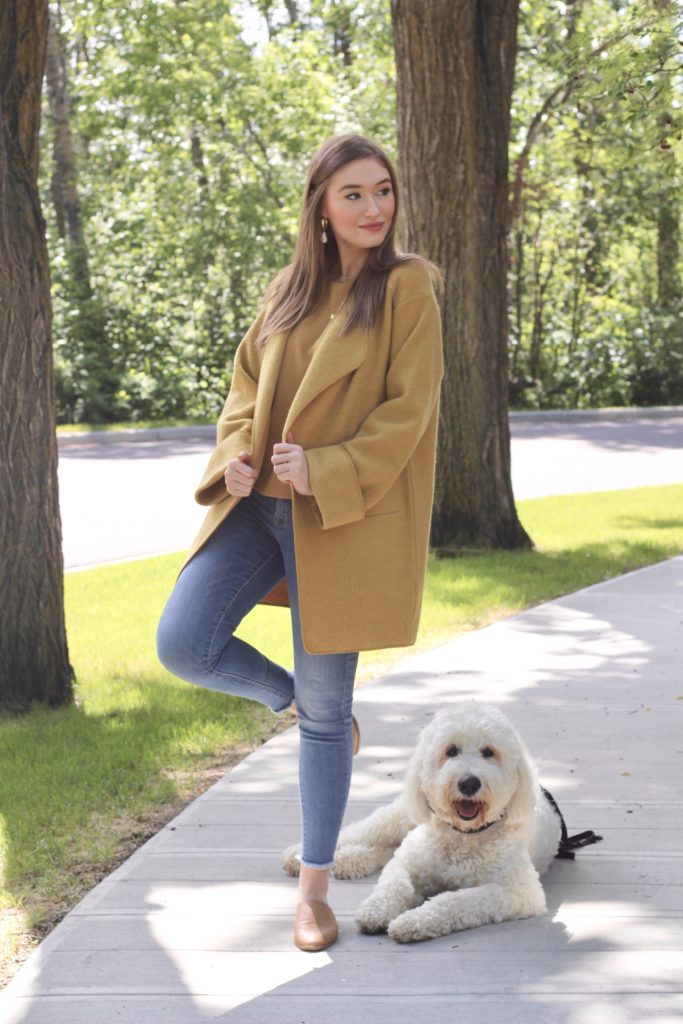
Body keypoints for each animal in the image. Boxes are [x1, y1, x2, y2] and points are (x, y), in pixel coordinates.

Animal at [280, 704, 565, 942]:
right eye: (450, 751)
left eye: (489, 752)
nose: (468, 783)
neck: (463, 835)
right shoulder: (406, 862)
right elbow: (395, 884)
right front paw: (375, 911)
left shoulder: (520, 893)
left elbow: (453, 900)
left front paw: (412, 922)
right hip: (401, 816)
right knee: (364, 832)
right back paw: (301, 855)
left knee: (384, 849)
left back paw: (350, 860)